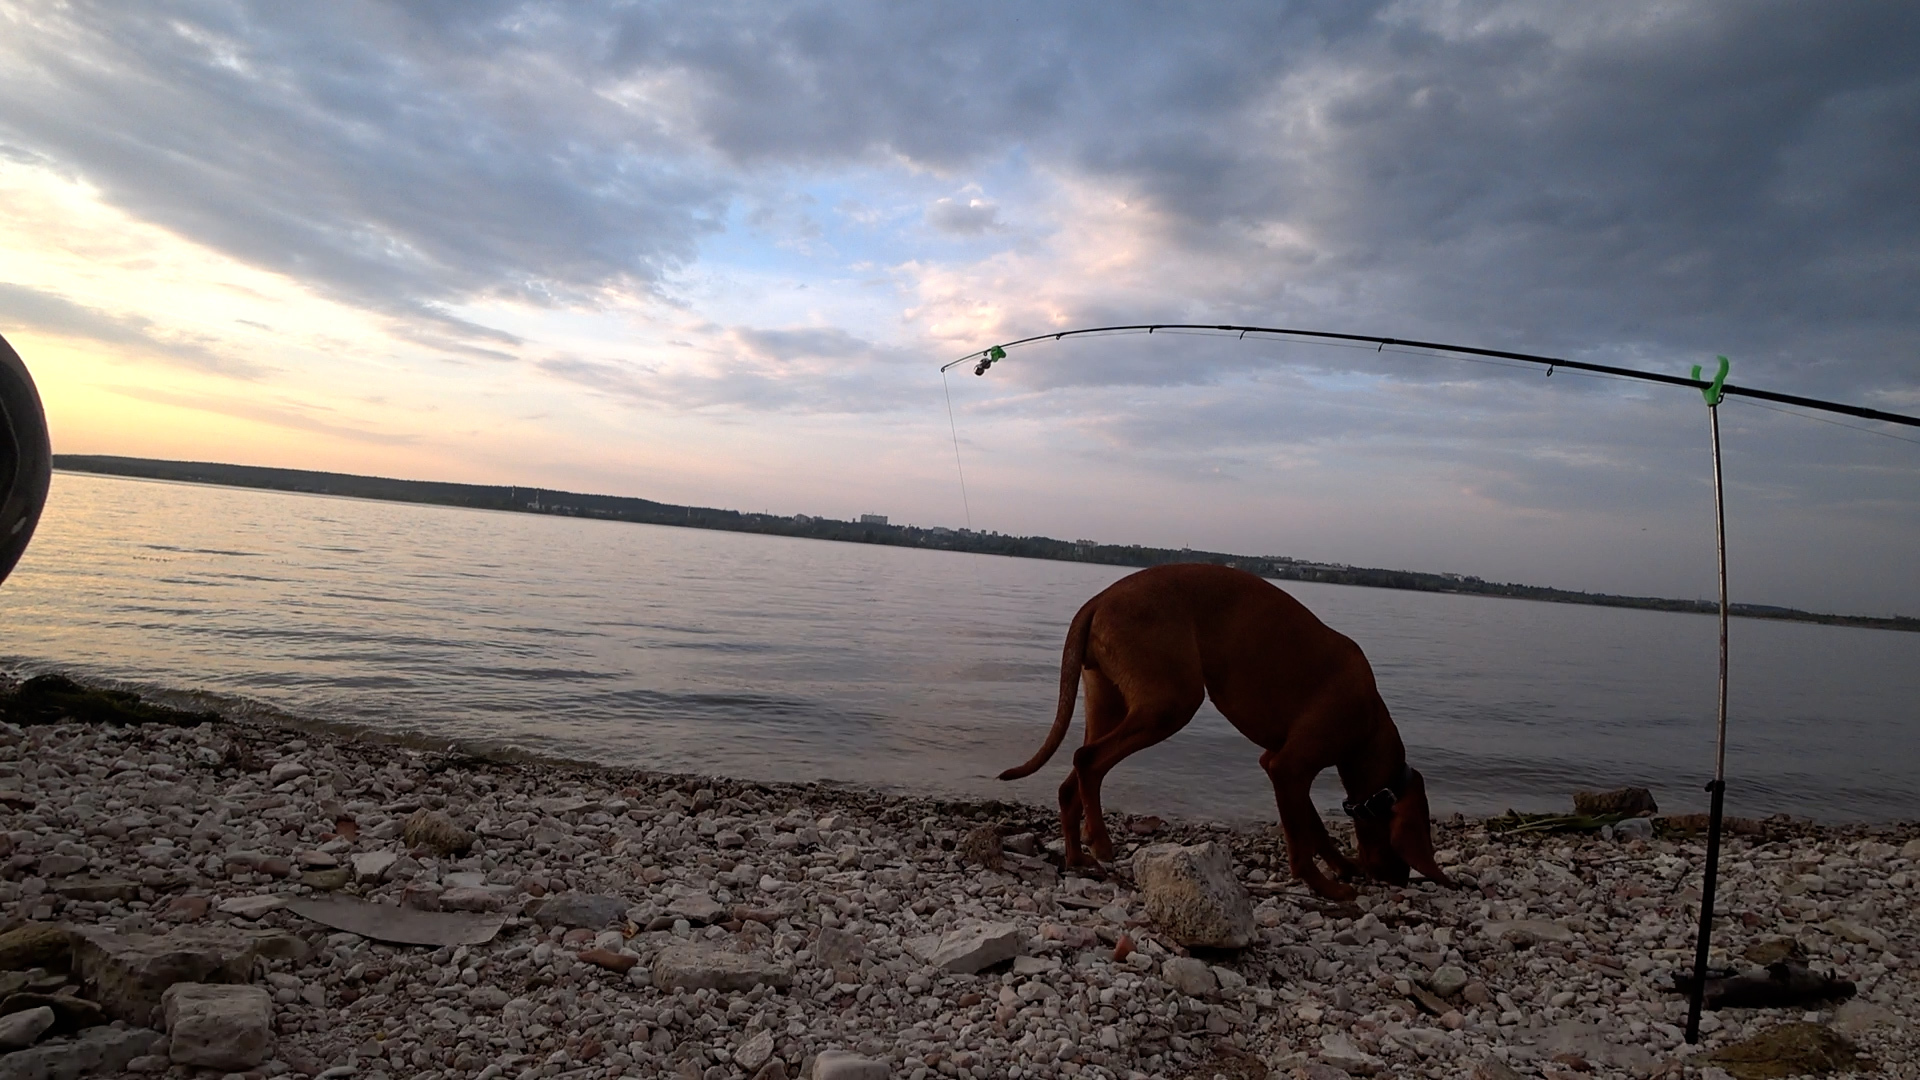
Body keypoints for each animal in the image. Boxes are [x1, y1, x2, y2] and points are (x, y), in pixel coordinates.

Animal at [1006, 557, 1451, 895]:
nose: (1399, 879)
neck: (1370, 722)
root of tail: (1099, 598)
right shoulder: (1289, 766)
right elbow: (1301, 842)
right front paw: (1326, 887)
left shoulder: (1279, 764)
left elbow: (1315, 828)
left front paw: (1341, 865)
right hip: (1170, 703)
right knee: (1088, 760)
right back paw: (1099, 841)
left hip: (1109, 706)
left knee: (1071, 783)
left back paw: (1077, 857)